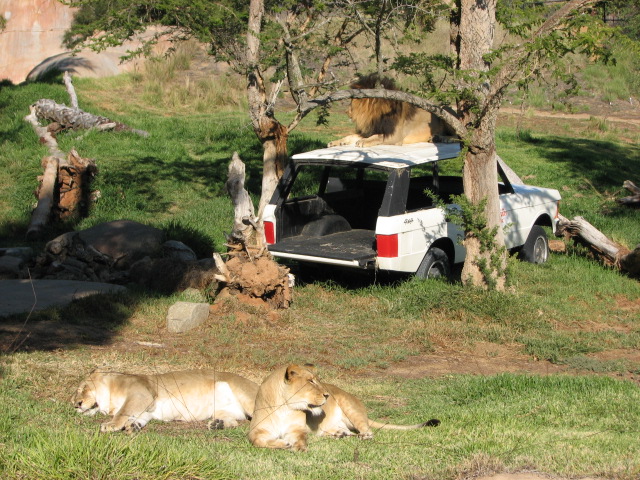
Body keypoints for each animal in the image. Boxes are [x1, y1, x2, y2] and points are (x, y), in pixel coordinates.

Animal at [73, 369, 259, 433]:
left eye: (82, 388)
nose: (76, 405)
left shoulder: (141, 395)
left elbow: (122, 412)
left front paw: (110, 425)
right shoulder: (147, 409)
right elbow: (137, 418)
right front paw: (133, 426)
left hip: (245, 394)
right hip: (223, 410)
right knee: (234, 421)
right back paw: (217, 424)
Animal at [248, 364, 439, 451]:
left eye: (317, 380)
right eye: (310, 381)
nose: (327, 395)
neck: (284, 407)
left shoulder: (297, 430)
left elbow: (300, 438)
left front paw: (299, 447)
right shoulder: (257, 431)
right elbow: (258, 441)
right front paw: (283, 443)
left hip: (350, 408)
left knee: (367, 431)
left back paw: (362, 436)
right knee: (342, 431)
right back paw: (339, 434)